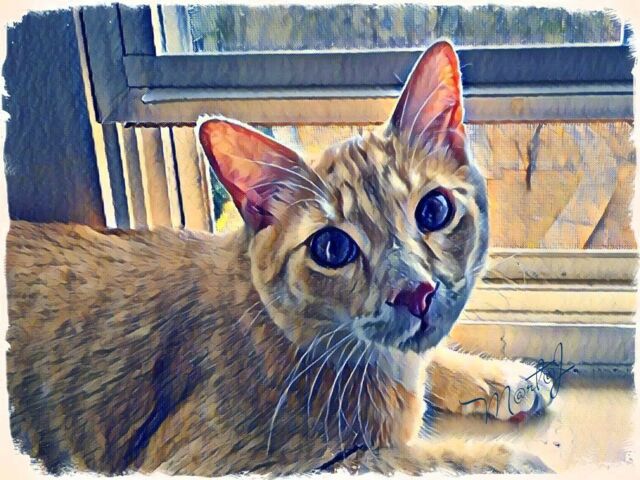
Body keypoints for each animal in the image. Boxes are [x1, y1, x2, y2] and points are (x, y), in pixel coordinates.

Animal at [5, 40, 553, 475]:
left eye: (434, 210)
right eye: (332, 248)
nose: (416, 292)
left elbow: (432, 357)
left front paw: (505, 379)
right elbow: (398, 457)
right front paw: (506, 460)